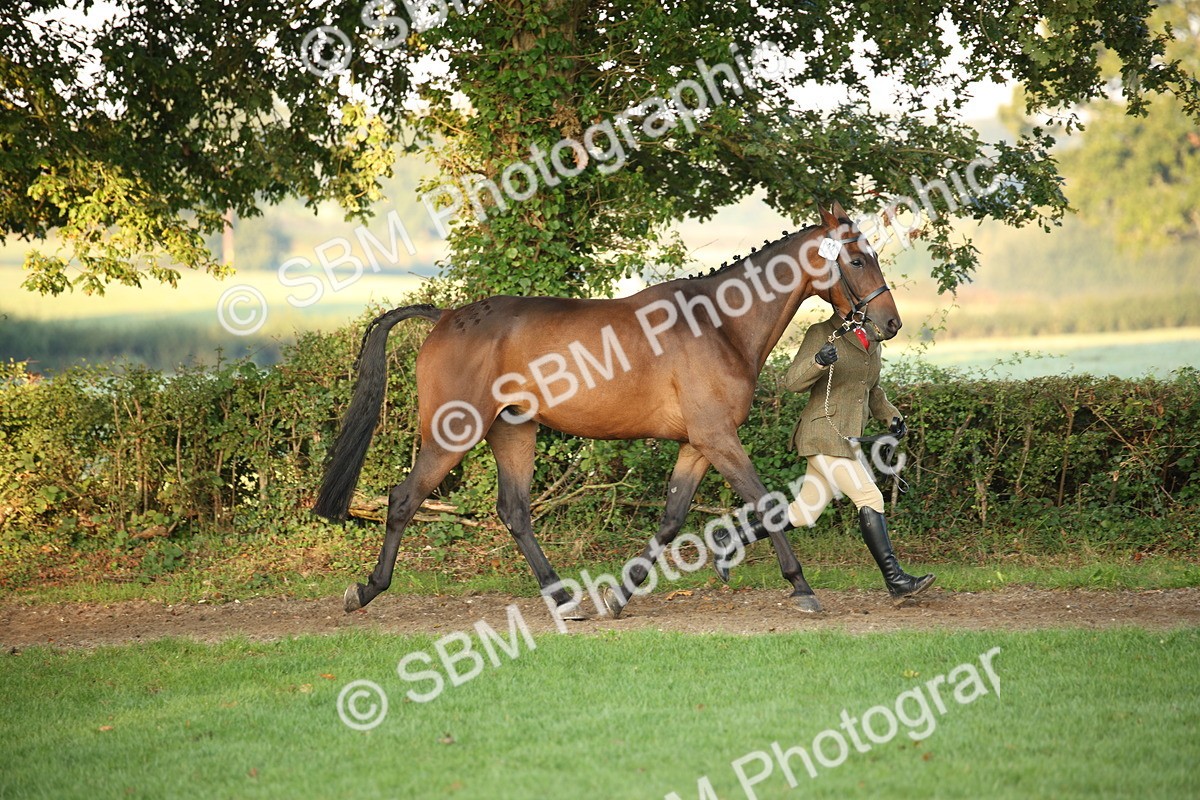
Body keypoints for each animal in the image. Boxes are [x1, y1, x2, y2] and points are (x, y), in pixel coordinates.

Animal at [312, 201, 901, 617]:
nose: (890, 323)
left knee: (515, 512)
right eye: (856, 259)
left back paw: (563, 597)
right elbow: (765, 504)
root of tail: (446, 316)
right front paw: (801, 588)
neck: (719, 325)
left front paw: (622, 594)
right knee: (404, 499)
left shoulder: (698, 445)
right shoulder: (718, 439)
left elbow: (671, 519)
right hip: (454, 432)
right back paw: (366, 590)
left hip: (513, 432)